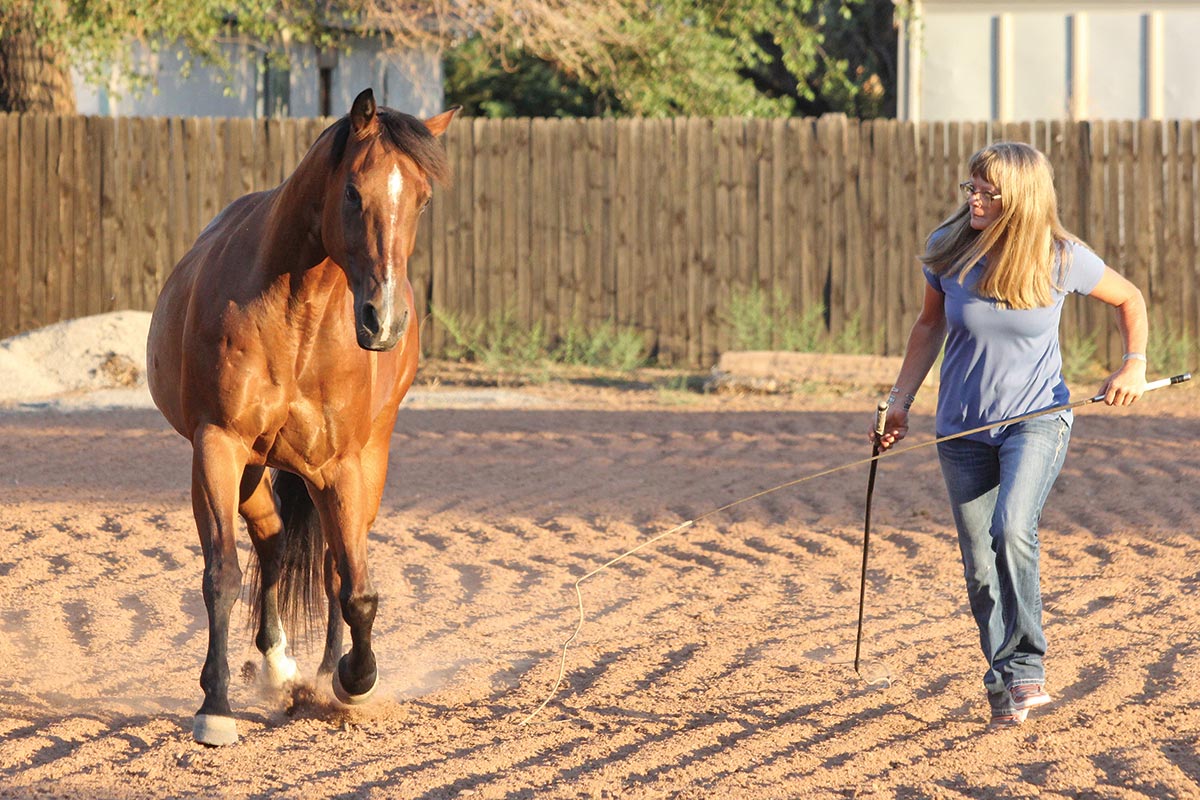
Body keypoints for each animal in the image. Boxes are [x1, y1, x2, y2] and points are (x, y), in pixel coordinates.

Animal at [145, 90, 453, 748]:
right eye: (353, 192)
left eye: (422, 198)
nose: (384, 319)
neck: (296, 314)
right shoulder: (218, 446)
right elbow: (223, 574)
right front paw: (215, 707)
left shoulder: (340, 466)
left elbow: (357, 588)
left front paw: (353, 678)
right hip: (249, 467)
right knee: (272, 540)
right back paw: (277, 661)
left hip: (365, 461)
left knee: (331, 562)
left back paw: (321, 669)